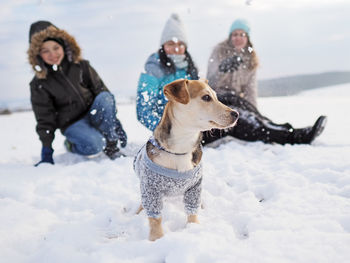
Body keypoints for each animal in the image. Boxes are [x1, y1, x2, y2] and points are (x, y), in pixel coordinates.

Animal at [133, 79, 238, 242]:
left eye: (216, 96)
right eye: (206, 97)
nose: (236, 114)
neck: (180, 149)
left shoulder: (195, 187)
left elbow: (192, 210)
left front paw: (194, 228)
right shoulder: (151, 188)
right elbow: (155, 218)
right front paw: (157, 238)